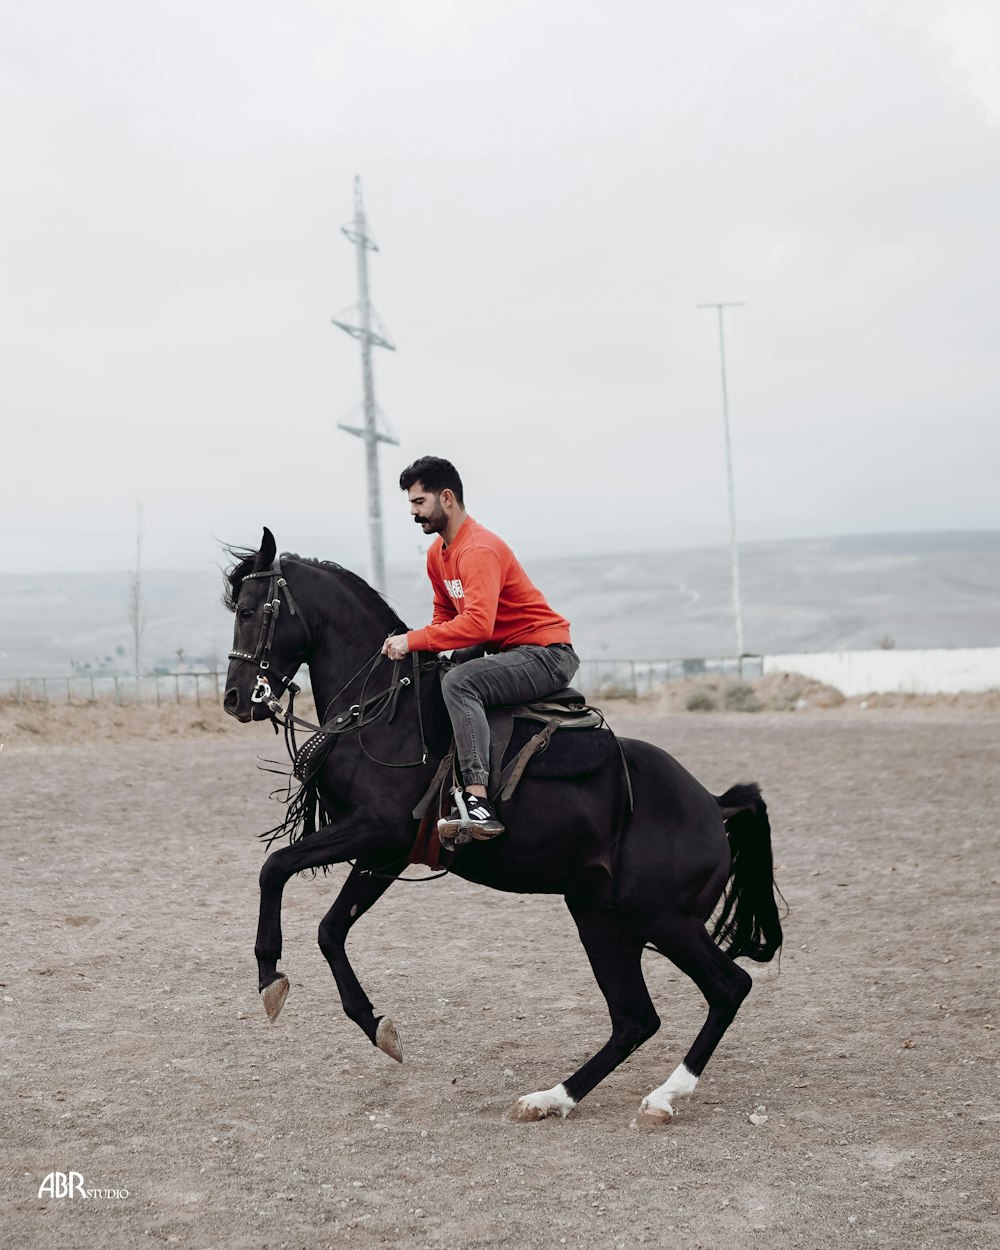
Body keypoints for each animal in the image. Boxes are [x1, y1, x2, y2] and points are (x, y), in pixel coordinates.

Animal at [225, 527, 780, 1125]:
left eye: (252, 611)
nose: (234, 698)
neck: (384, 711)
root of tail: (711, 804)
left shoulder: (376, 833)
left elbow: (275, 868)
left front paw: (270, 977)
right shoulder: (383, 853)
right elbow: (330, 929)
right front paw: (376, 1026)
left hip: (665, 918)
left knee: (728, 988)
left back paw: (663, 1097)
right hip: (600, 916)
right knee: (635, 1018)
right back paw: (552, 1097)